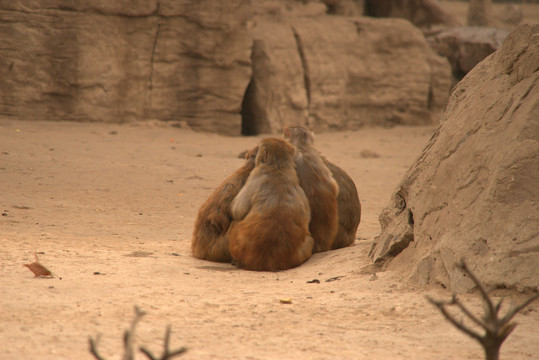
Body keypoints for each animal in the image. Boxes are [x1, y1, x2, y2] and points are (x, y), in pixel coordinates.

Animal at [227, 138, 312, 270]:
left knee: (234, 223)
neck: (278, 168)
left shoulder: (255, 177)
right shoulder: (301, 191)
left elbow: (237, 210)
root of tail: (268, 261)